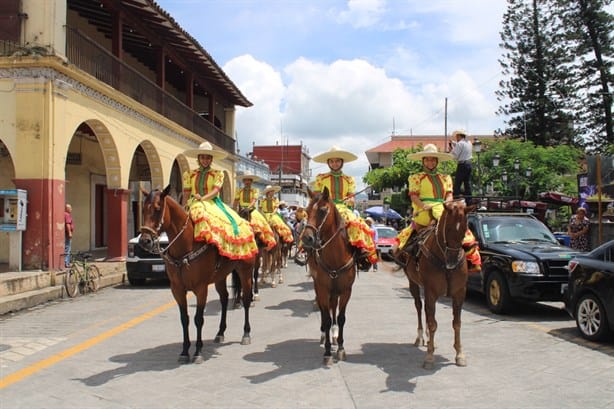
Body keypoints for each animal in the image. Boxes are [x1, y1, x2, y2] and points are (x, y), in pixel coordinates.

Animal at [139, 186, 255, 362]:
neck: (185, 246)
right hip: (220, 277)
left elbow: (198, 319)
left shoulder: (201, 289)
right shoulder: (177, 290)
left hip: (245, 271)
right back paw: (220, 333)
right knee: (224, 299)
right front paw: (184, 351)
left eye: (158, 208)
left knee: (246, 300)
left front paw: (198, 351)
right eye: (143, 209)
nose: (144, 241)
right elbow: (184, 319)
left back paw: (246, 334)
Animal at [302, 186, 358, 364]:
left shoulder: (346, 290)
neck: (335, 257)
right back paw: (325, 335)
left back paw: (334, 335)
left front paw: (340, 347)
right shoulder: (323, 289)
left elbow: (340, 318)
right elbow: (325, 318)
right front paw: (327, 352)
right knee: (323, 309)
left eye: (322, 210)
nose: (307, 238)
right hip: (320, 288)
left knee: (333, 307)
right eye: (306, 211)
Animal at [406, 199, 478, 368]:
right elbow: (433, 323)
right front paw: (429, 357)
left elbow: (456, 323)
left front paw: (459, 354)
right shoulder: (431, 292)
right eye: (448, 228)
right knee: (419, 308)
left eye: (465, 229)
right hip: (413, 283)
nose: (452, 260)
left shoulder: (459, 293)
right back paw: (421, 337)